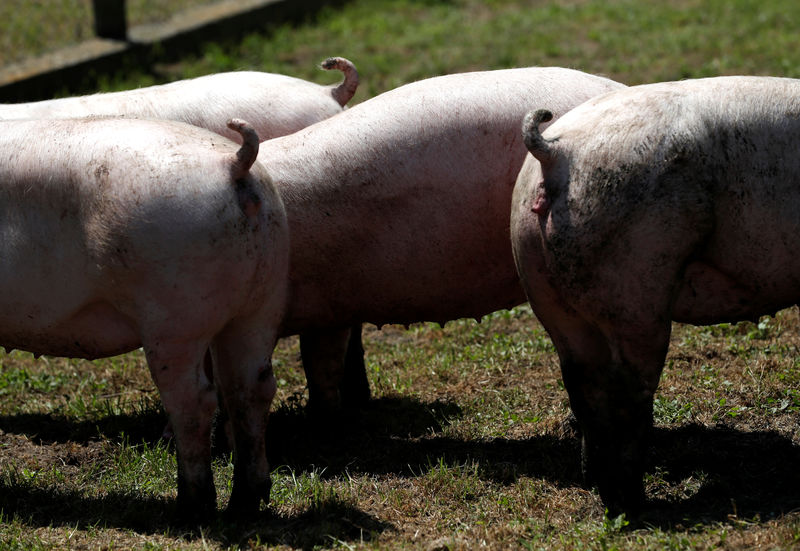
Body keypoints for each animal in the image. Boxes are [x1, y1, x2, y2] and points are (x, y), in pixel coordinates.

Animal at [0, 116, 288, 520]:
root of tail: (235, 163)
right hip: (263, 300)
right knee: (251, 388)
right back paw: (245, 504)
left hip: (175, 316)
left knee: (196, 400)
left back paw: (190, 508)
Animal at [510, 76, 800, 516]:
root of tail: (556, 152)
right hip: (635, 292)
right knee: (627, 396)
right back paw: (634, 506)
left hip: (548, 295)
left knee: (581, 384)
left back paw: (594, 482)